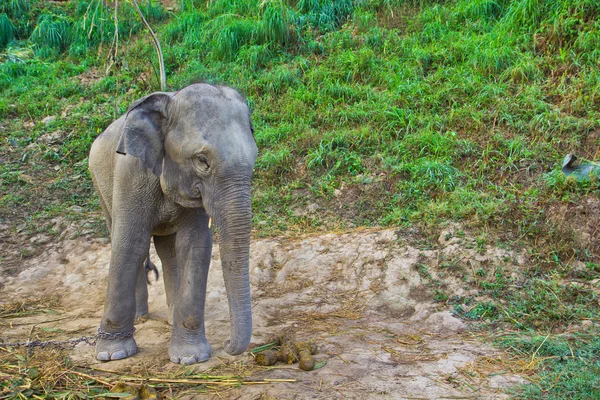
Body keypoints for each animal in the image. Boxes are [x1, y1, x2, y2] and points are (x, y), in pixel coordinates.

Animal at [88, 84, 256, 366]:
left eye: (255, 159)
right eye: (202, 161)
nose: (227, 344)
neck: (170, 100)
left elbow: (195, 245)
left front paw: (190, 357)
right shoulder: (131, 173)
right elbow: (130, 242)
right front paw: (113, 354)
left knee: (167, 251)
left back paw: (170, 318)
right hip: (99, 183)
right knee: (123, 237)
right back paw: (139, 318)